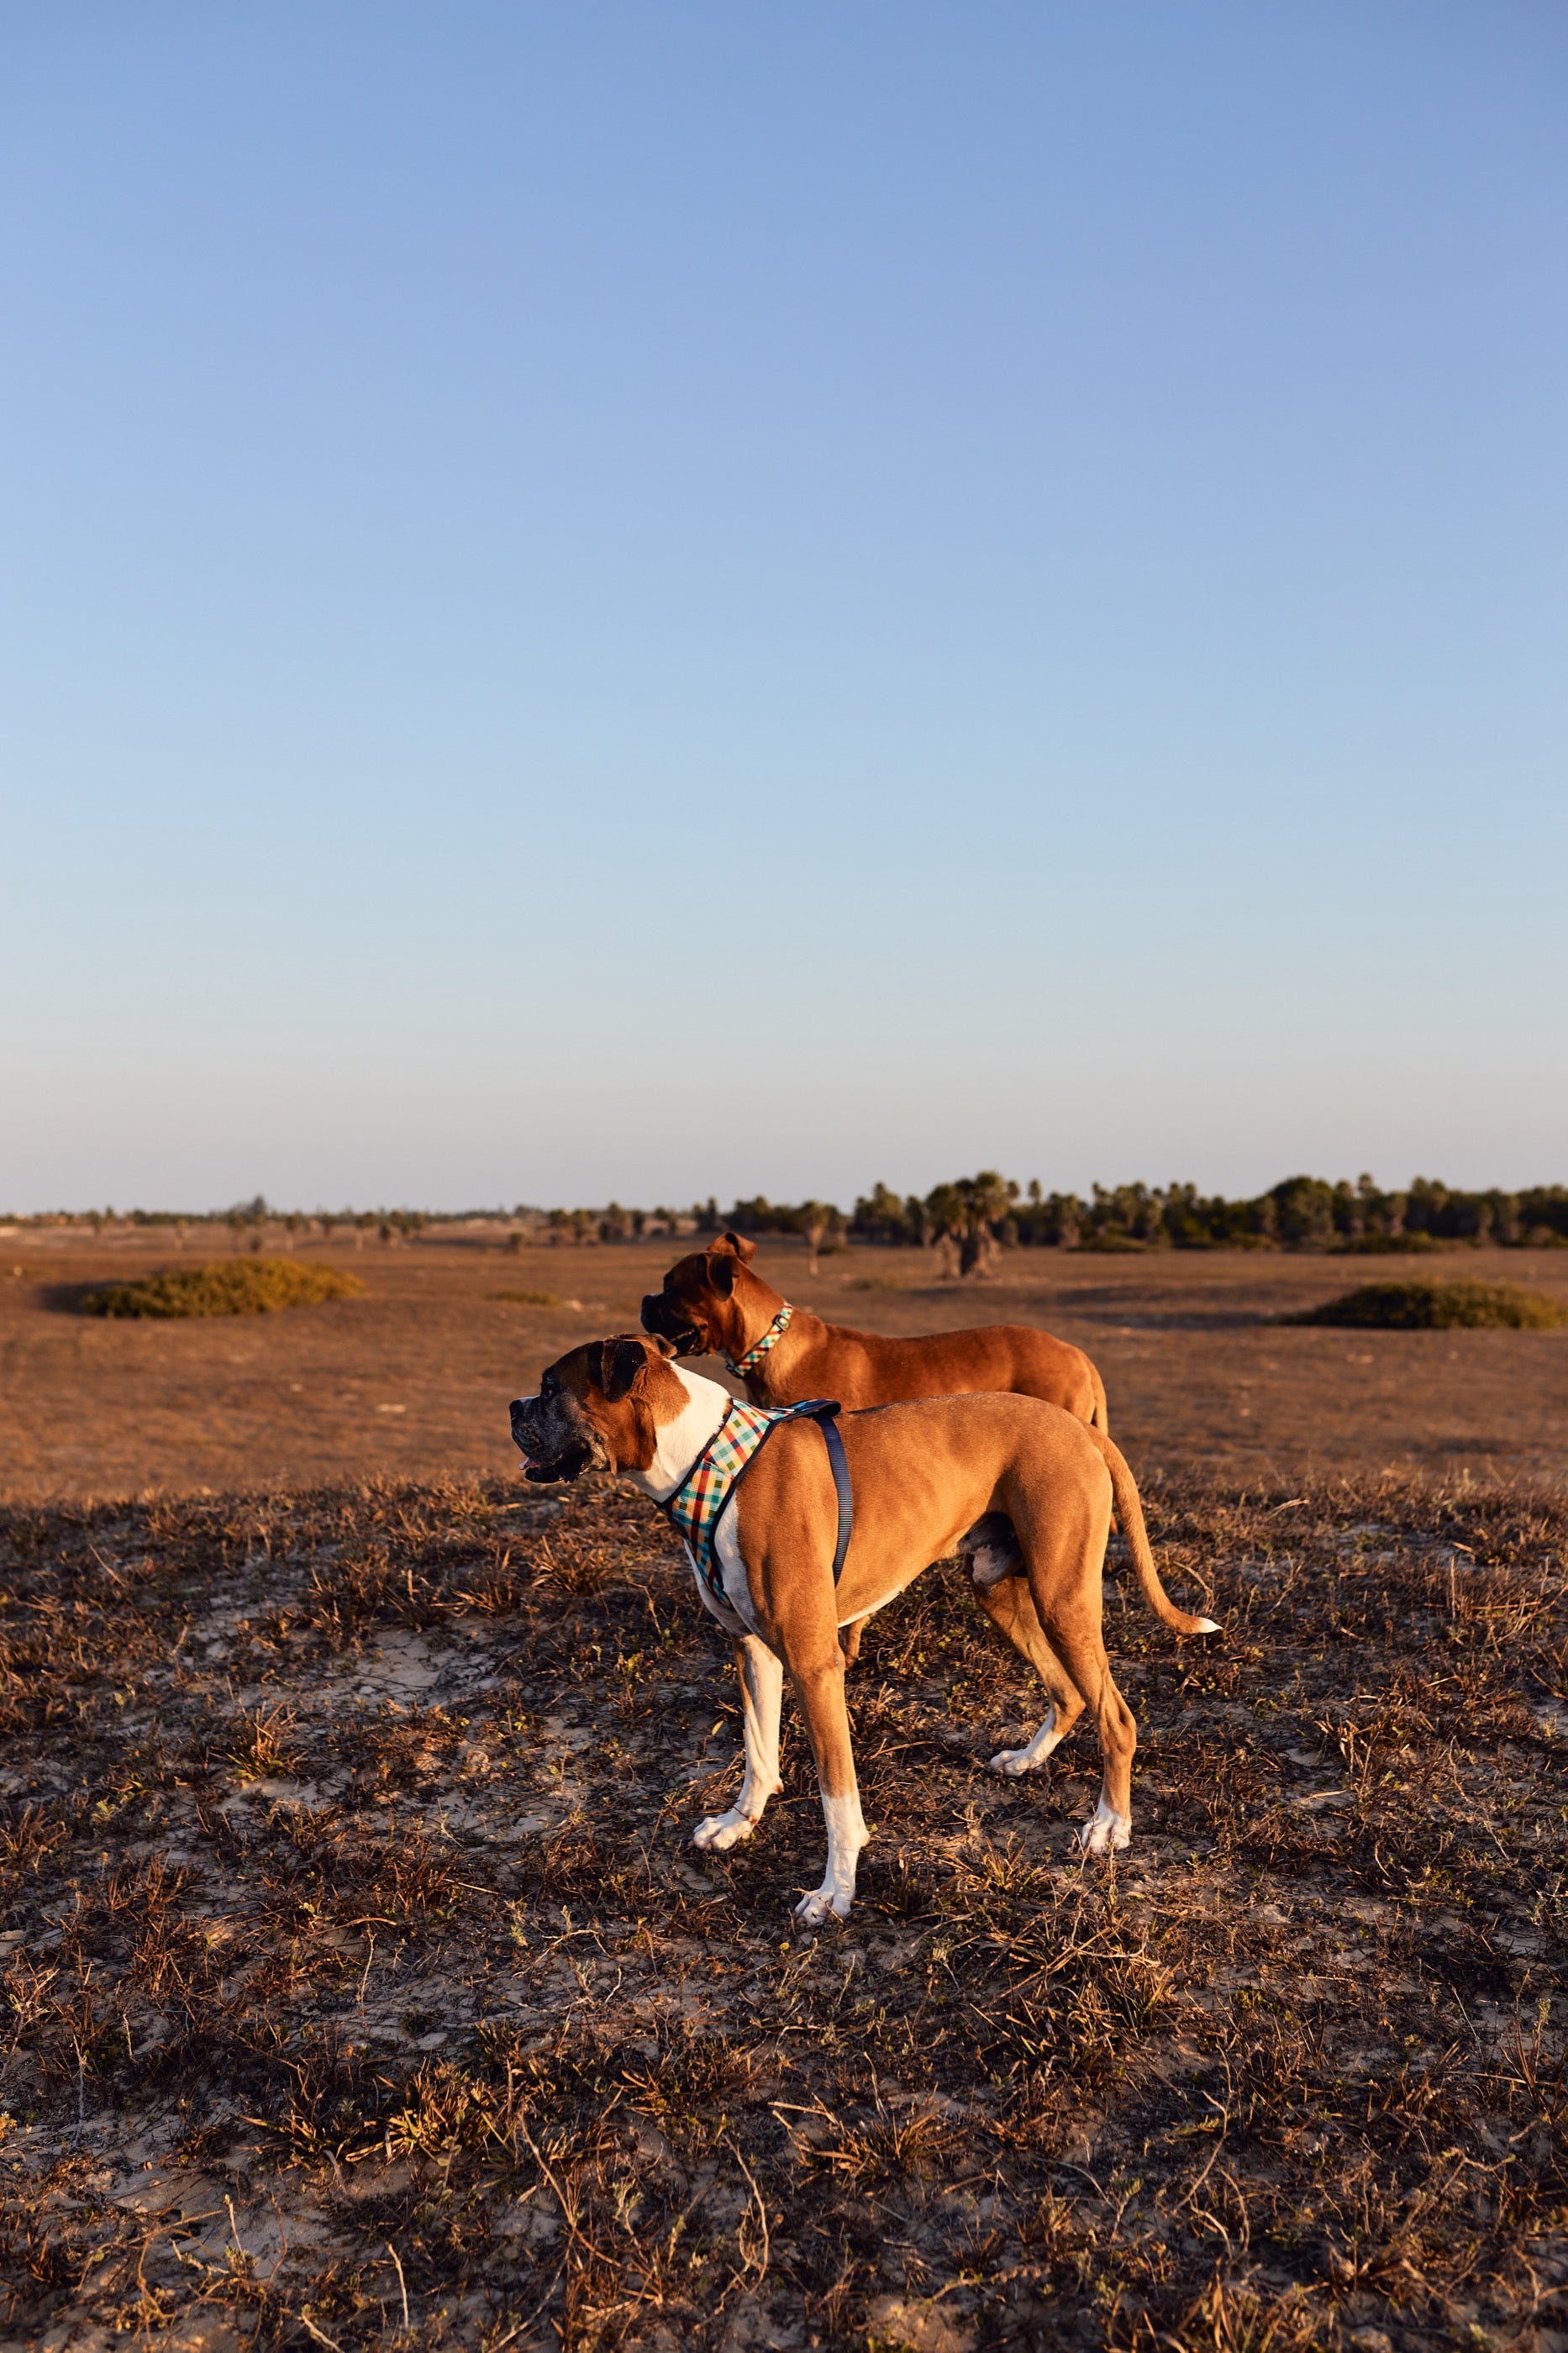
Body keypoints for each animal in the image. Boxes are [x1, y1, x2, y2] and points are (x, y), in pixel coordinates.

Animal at [506, 1336, 1214, 1919]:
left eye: (549, 1387)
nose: (513, 1406)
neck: (705, 1462)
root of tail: (1079, 1429)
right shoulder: (753, 1650)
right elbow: (758, 1751)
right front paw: (739, 1824)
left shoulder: (817, 1665)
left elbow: (836, 1795)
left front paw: (835, 1892)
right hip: (999, 1587)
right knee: (1068, 1693)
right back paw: (1027, 1759)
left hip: (1063, 1597)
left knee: (1115, 1715)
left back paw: (1110, 1825)